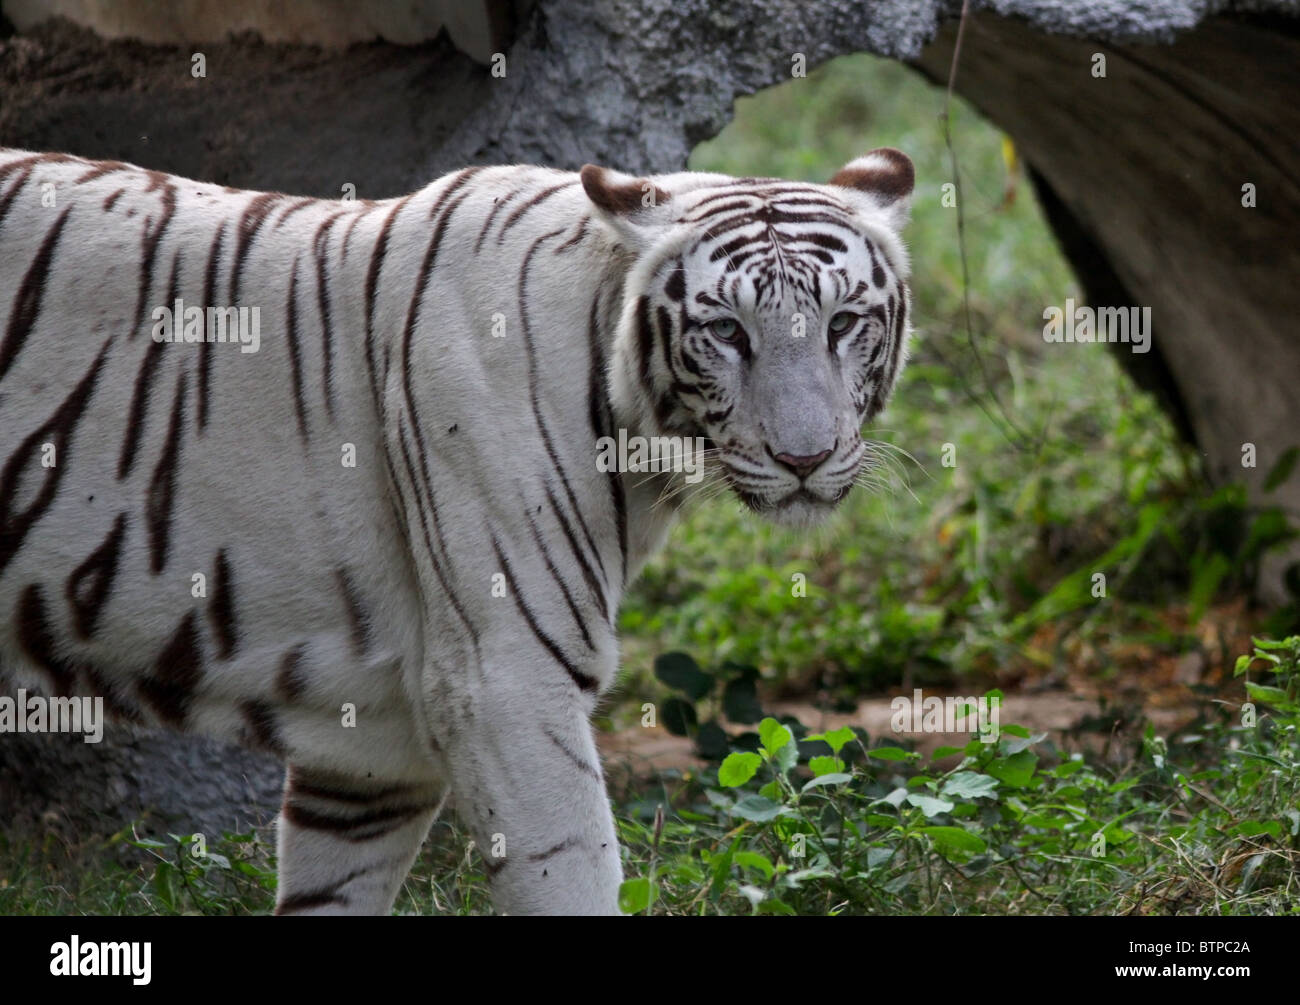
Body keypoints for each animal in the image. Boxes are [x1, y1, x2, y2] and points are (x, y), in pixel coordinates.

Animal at [0, 146, 915, 910]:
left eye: (842, 322)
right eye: (727, 331)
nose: (805, 457)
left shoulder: (369, 748)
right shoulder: (504, 677)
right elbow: (572, 874)